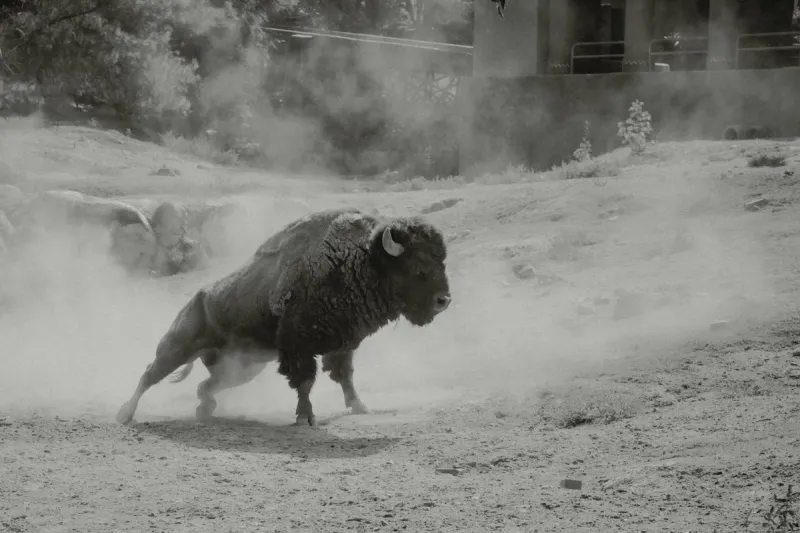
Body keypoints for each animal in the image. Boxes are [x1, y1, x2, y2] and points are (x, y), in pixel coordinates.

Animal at [116, 208, 452, 427]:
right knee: (149, 374)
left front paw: (361, 407)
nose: (444, 300)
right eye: (418, 268)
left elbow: (345, 376)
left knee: (205, 386)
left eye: (442, 261)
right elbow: (305, 381)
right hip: (177, 347)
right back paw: (125, 414)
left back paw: (204, 410)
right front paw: (306, 417)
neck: (361, 259)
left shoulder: (343, 344)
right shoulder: (298, 347)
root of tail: (196, 298)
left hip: (242, 368)